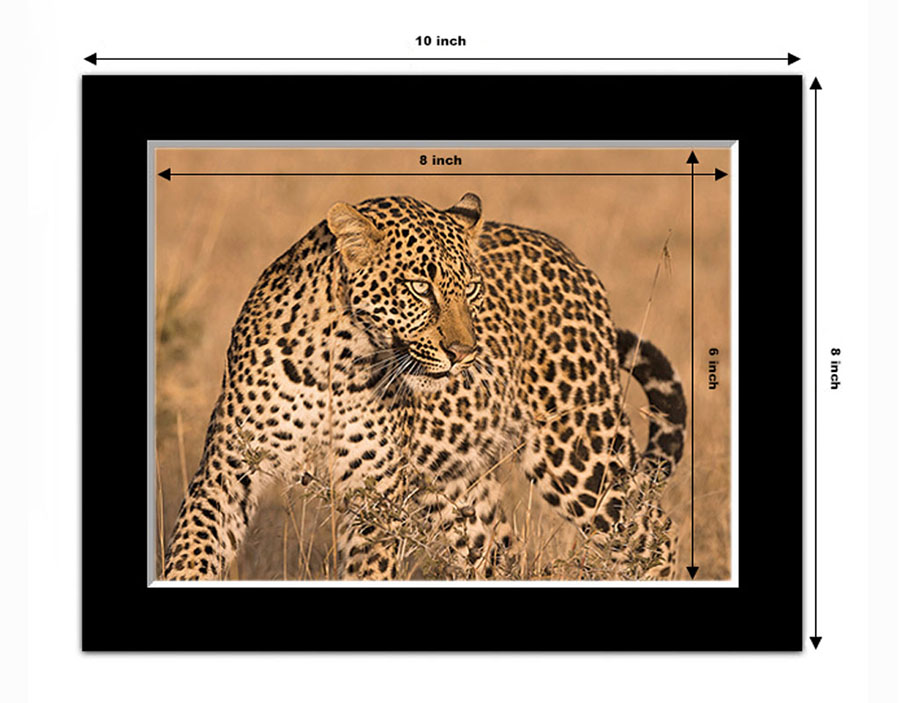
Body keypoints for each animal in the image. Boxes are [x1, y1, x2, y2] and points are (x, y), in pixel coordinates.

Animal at [163, 193, 687, 581]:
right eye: (419, 287)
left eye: (471, 289)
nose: (465, 353)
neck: (337, 359)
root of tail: (571, 258)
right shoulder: (228, 467)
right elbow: (192, 549)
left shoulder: (374, 492)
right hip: (456, 489)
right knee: (496, 556)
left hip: (580, 451)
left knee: (652, 534)